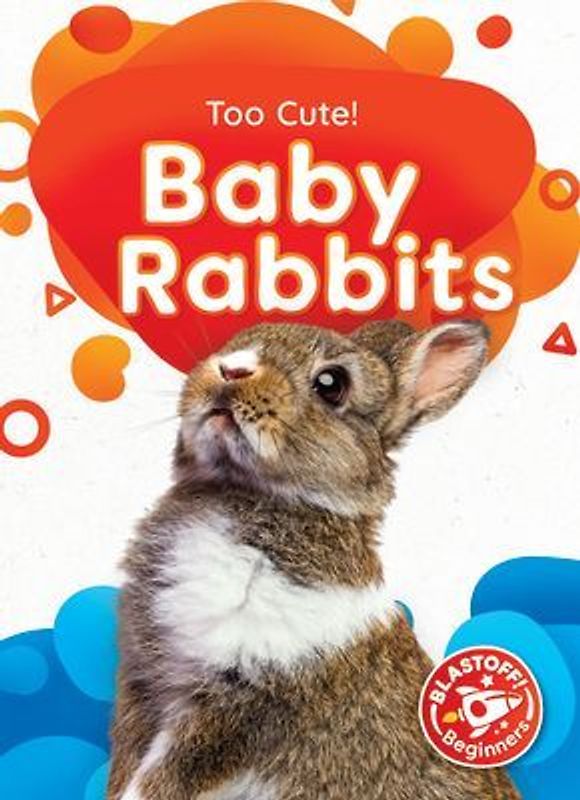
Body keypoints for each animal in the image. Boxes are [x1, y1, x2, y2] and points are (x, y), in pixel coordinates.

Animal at [108, 319, 520, 800]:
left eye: (331, 384)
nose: (232, 370)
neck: (244, 494)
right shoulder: (141, 687)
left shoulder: (237, 707)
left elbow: (161, 777)